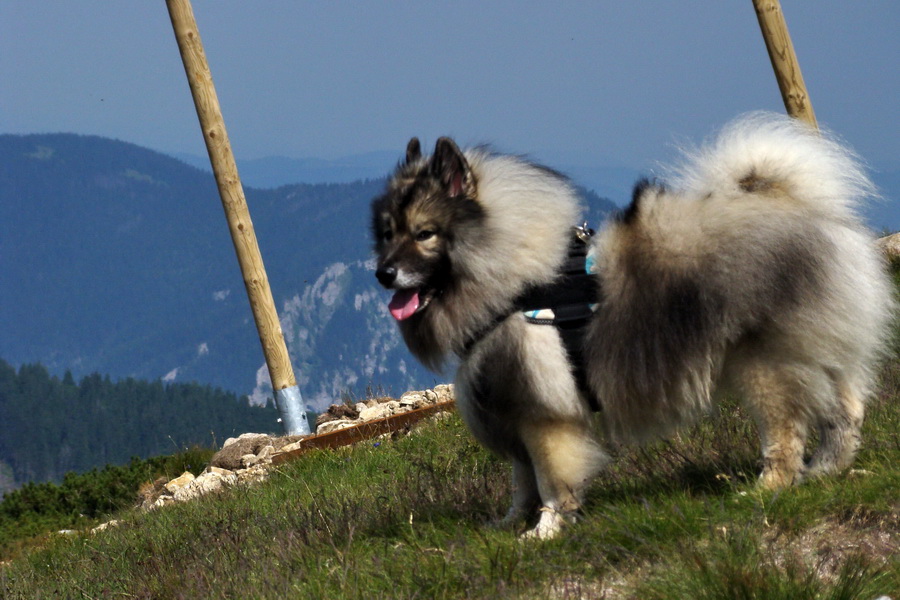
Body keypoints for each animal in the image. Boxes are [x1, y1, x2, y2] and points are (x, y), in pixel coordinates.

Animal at [368, 112, 892, 540]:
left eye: (425, 234)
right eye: (388, 233)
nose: (382, 273)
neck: (510, 278)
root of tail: (799, 206)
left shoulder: (541, 413)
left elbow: (550, 478)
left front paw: (546, 531)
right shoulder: (512, 406)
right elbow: (522, 480)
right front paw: (509, 523)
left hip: (765, 365)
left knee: (787, 431)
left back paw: (768, 487)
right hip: (815, 353)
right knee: (846, 412)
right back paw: (825, 470)